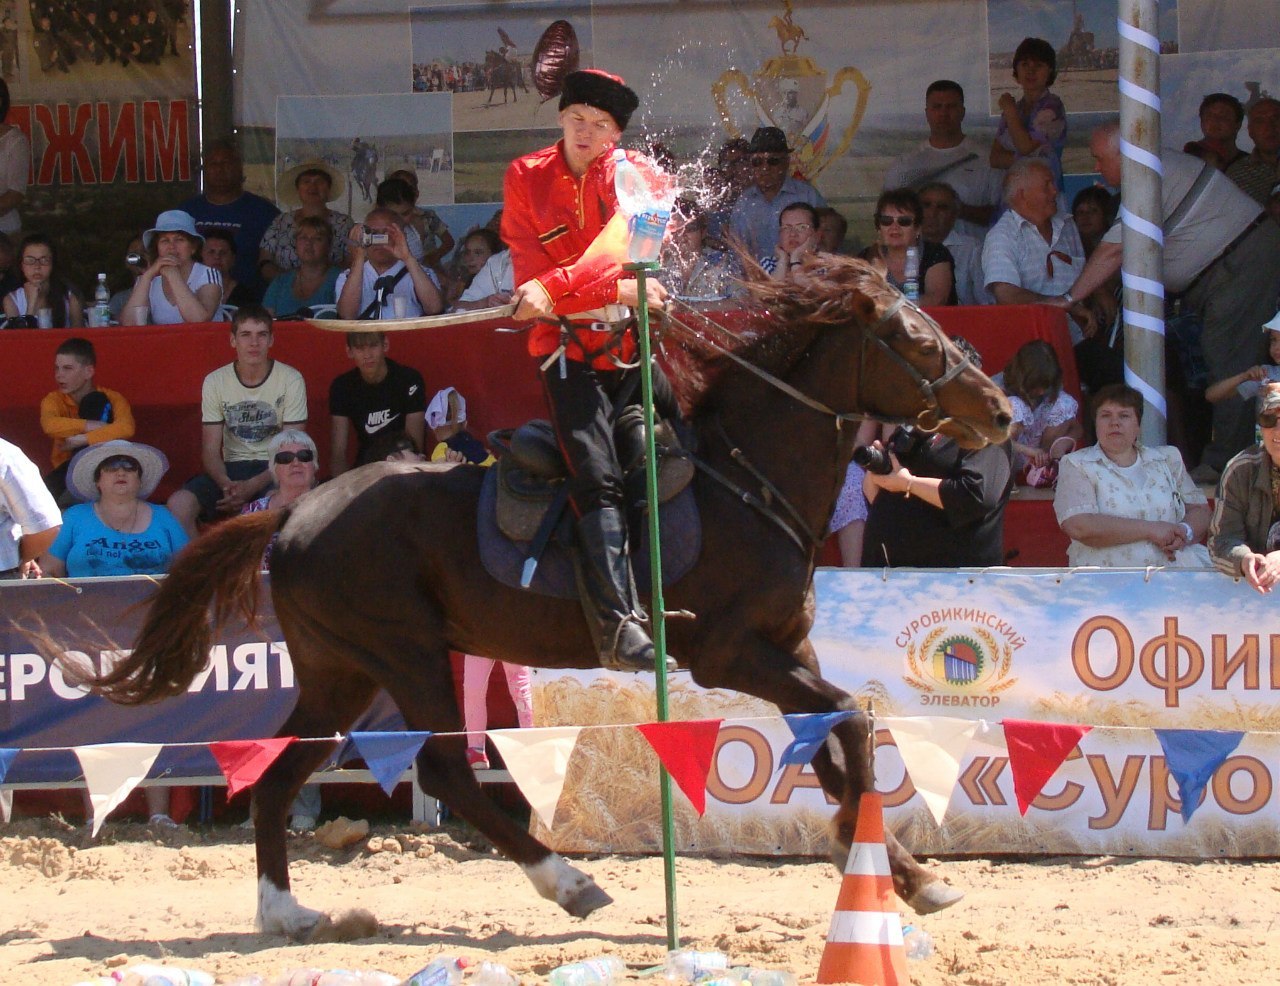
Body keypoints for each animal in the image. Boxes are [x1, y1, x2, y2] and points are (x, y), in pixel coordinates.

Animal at [87, 258, 1008, 937]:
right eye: (912, 338)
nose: (1000, 411)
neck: (745, 476)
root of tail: (291, 515)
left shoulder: (789, 648)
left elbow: (832, 740)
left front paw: (904, 872)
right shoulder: (732, 653)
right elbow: (849, 720)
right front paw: (892, 868)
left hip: (337, 674)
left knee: (278, 778)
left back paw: (286, 911)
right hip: (407, 655)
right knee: (444, 769)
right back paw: (567, 883)